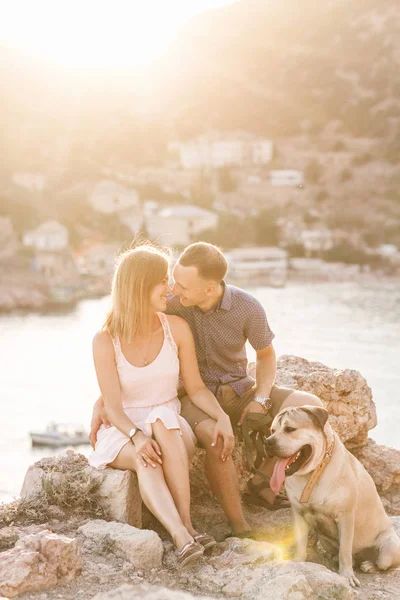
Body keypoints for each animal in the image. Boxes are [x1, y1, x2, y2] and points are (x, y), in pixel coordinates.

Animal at [266, 406, 400, 588]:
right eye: (272, 431)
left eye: (290, 429)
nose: (267, 442)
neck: (314, 472)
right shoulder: (299, 515)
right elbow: (301, 543)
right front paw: (299, 561)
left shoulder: (345, 517)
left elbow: (345, 550)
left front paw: (346, 575)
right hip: (326, 541)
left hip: (389, 548)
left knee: (381, 563)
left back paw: (368, 565)